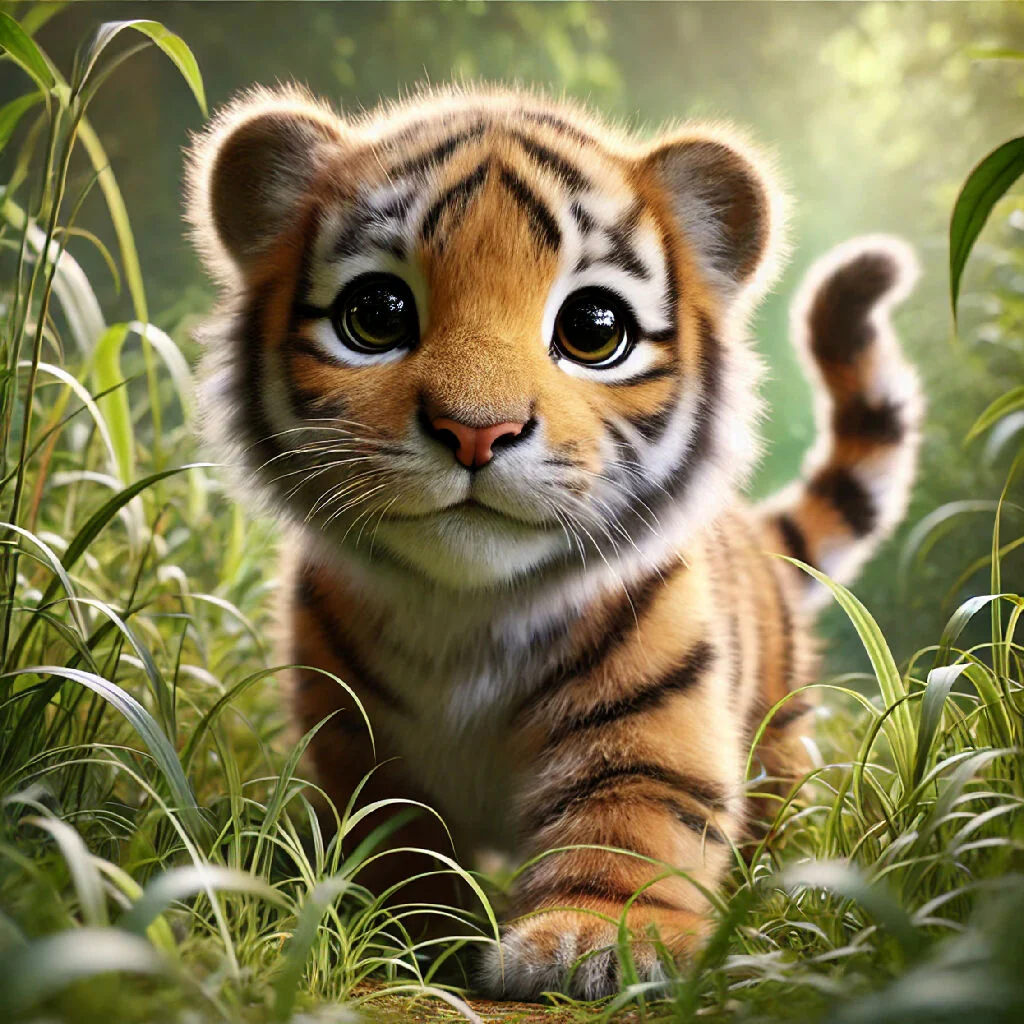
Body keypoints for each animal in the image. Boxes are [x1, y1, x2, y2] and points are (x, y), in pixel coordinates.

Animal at [185, 84, 921, 1001]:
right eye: (376, 315)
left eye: (593, 329)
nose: (476, 430)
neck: (465, 612)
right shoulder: (357, 743)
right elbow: (395, 841)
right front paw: (397, 938)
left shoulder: (653, 722)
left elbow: (633, 827)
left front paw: (595, 942)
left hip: (778, 731)